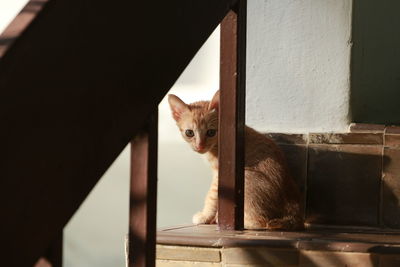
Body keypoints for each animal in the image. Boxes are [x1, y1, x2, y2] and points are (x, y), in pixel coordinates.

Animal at [168, 91, 304, 231]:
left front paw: (205, 216)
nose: (200, 146)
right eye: (189, 133)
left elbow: (212, 195)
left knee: (260, 222)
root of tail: (296, 215)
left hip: (246, 175)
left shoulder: (221, 174)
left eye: (211, 132)